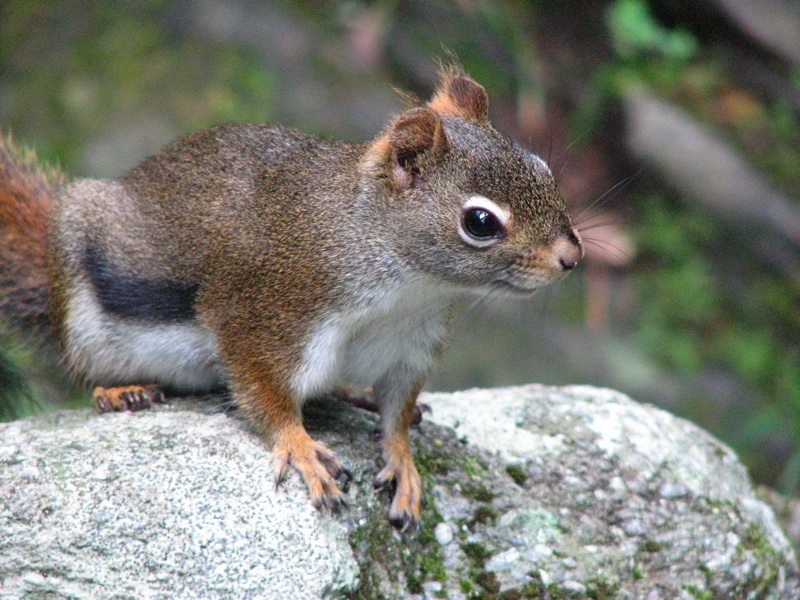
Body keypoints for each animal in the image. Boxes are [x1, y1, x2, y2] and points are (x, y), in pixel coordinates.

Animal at [3, 68, 584, 528]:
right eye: (480, 222)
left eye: (542, 167)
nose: (571, 257)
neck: (407, 289)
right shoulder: (266, 314)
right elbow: (267, 394)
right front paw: (301, 448)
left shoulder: (408, 346)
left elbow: (398, 408)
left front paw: (402, 458)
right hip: (82, 296)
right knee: (82, 368)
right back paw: (120, 391)